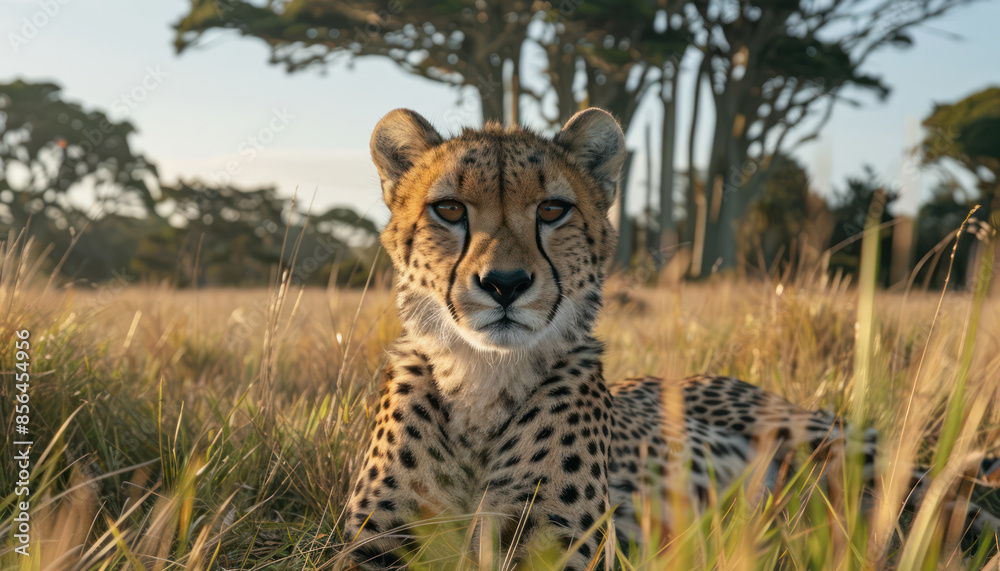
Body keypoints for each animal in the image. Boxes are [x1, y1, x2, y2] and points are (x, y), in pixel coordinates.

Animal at [341, 107, 999, 569]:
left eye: (552, 210)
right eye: (450, 209)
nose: (504, 283)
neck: (483, 379)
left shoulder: (555, 548)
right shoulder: (376, 547)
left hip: (839, 449)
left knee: (953, 499)